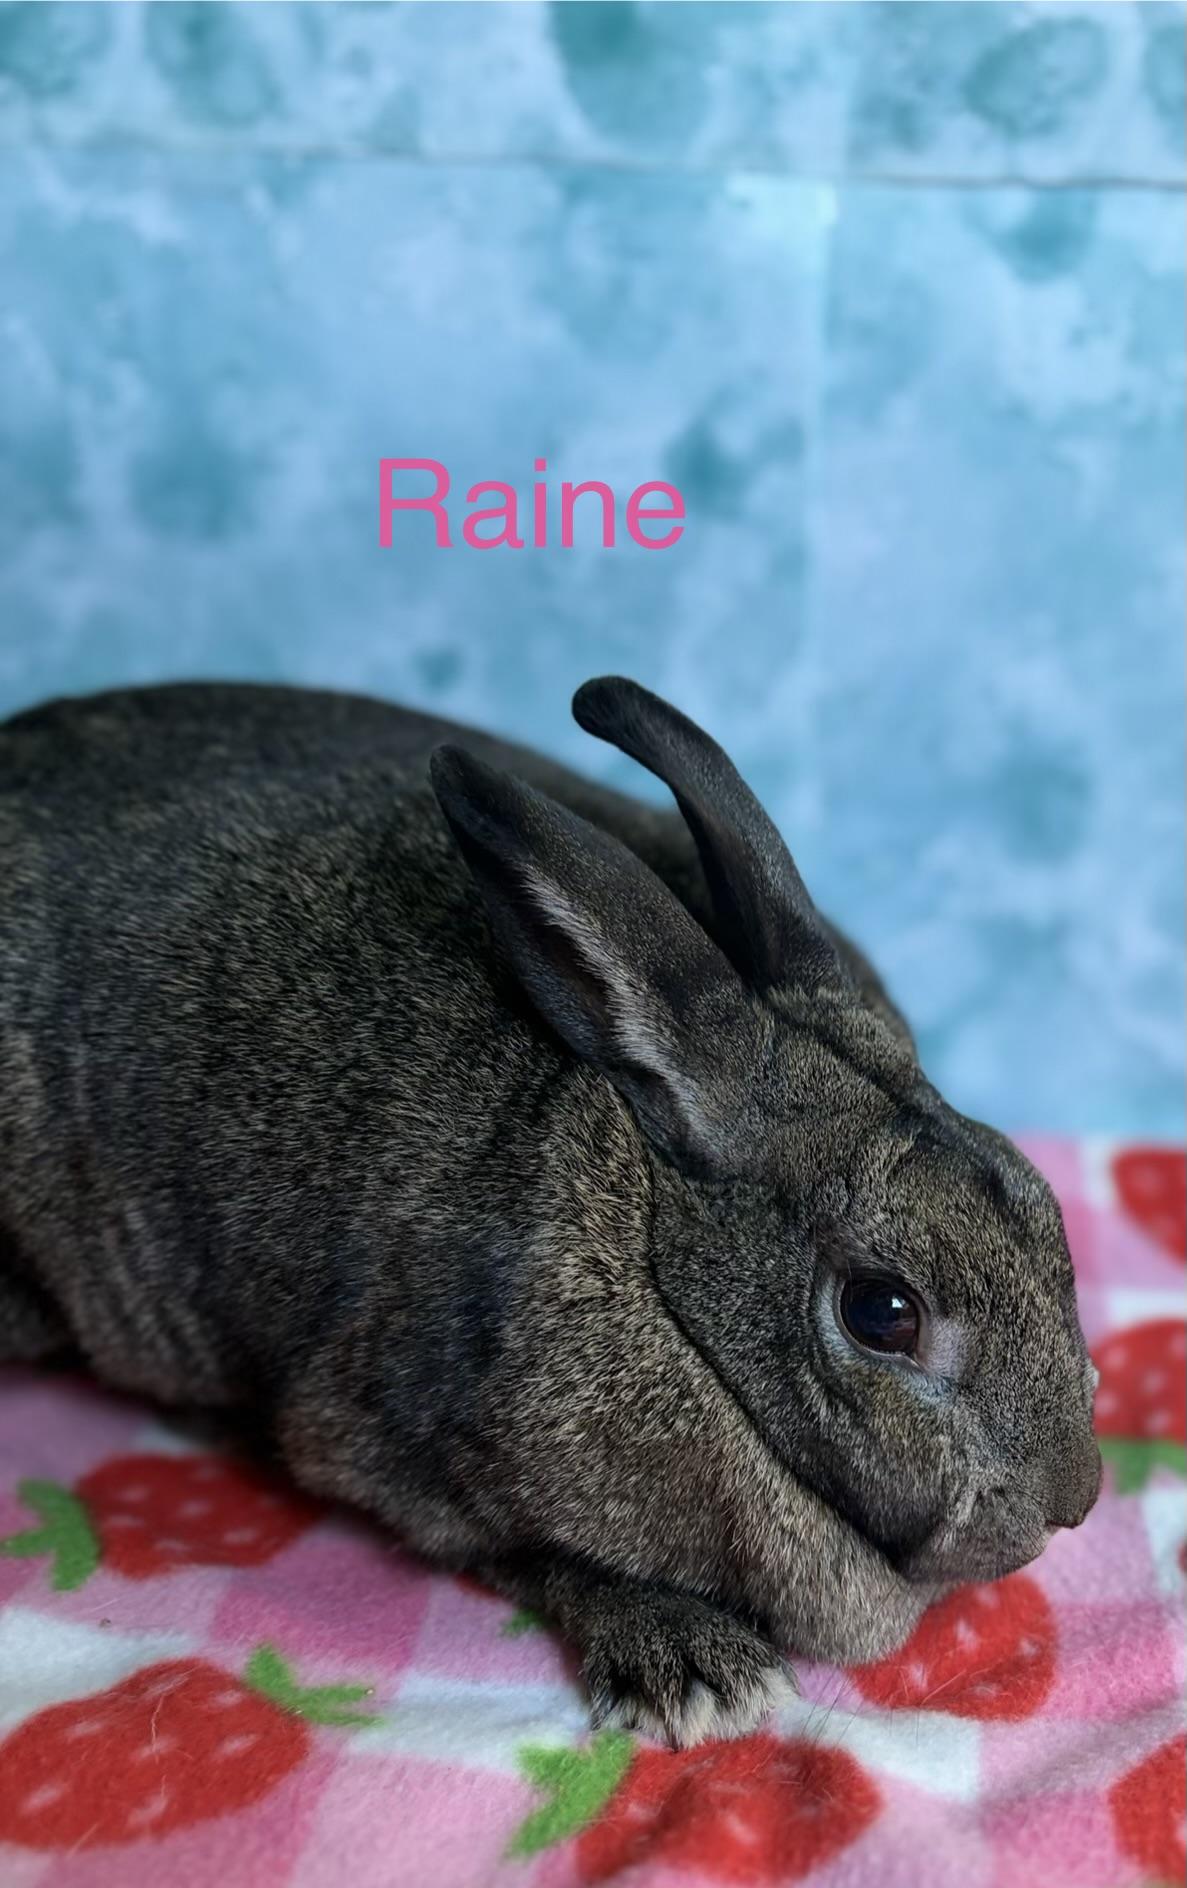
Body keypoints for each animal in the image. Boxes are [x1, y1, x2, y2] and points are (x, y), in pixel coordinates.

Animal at [0, 675, 1100, 1745]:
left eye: (1043, 1212)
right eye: (881, 1312)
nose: (1075, 1499)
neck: (661, 1256)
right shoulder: (390, 1450)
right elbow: (533, 1555)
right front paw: (695, 1669)